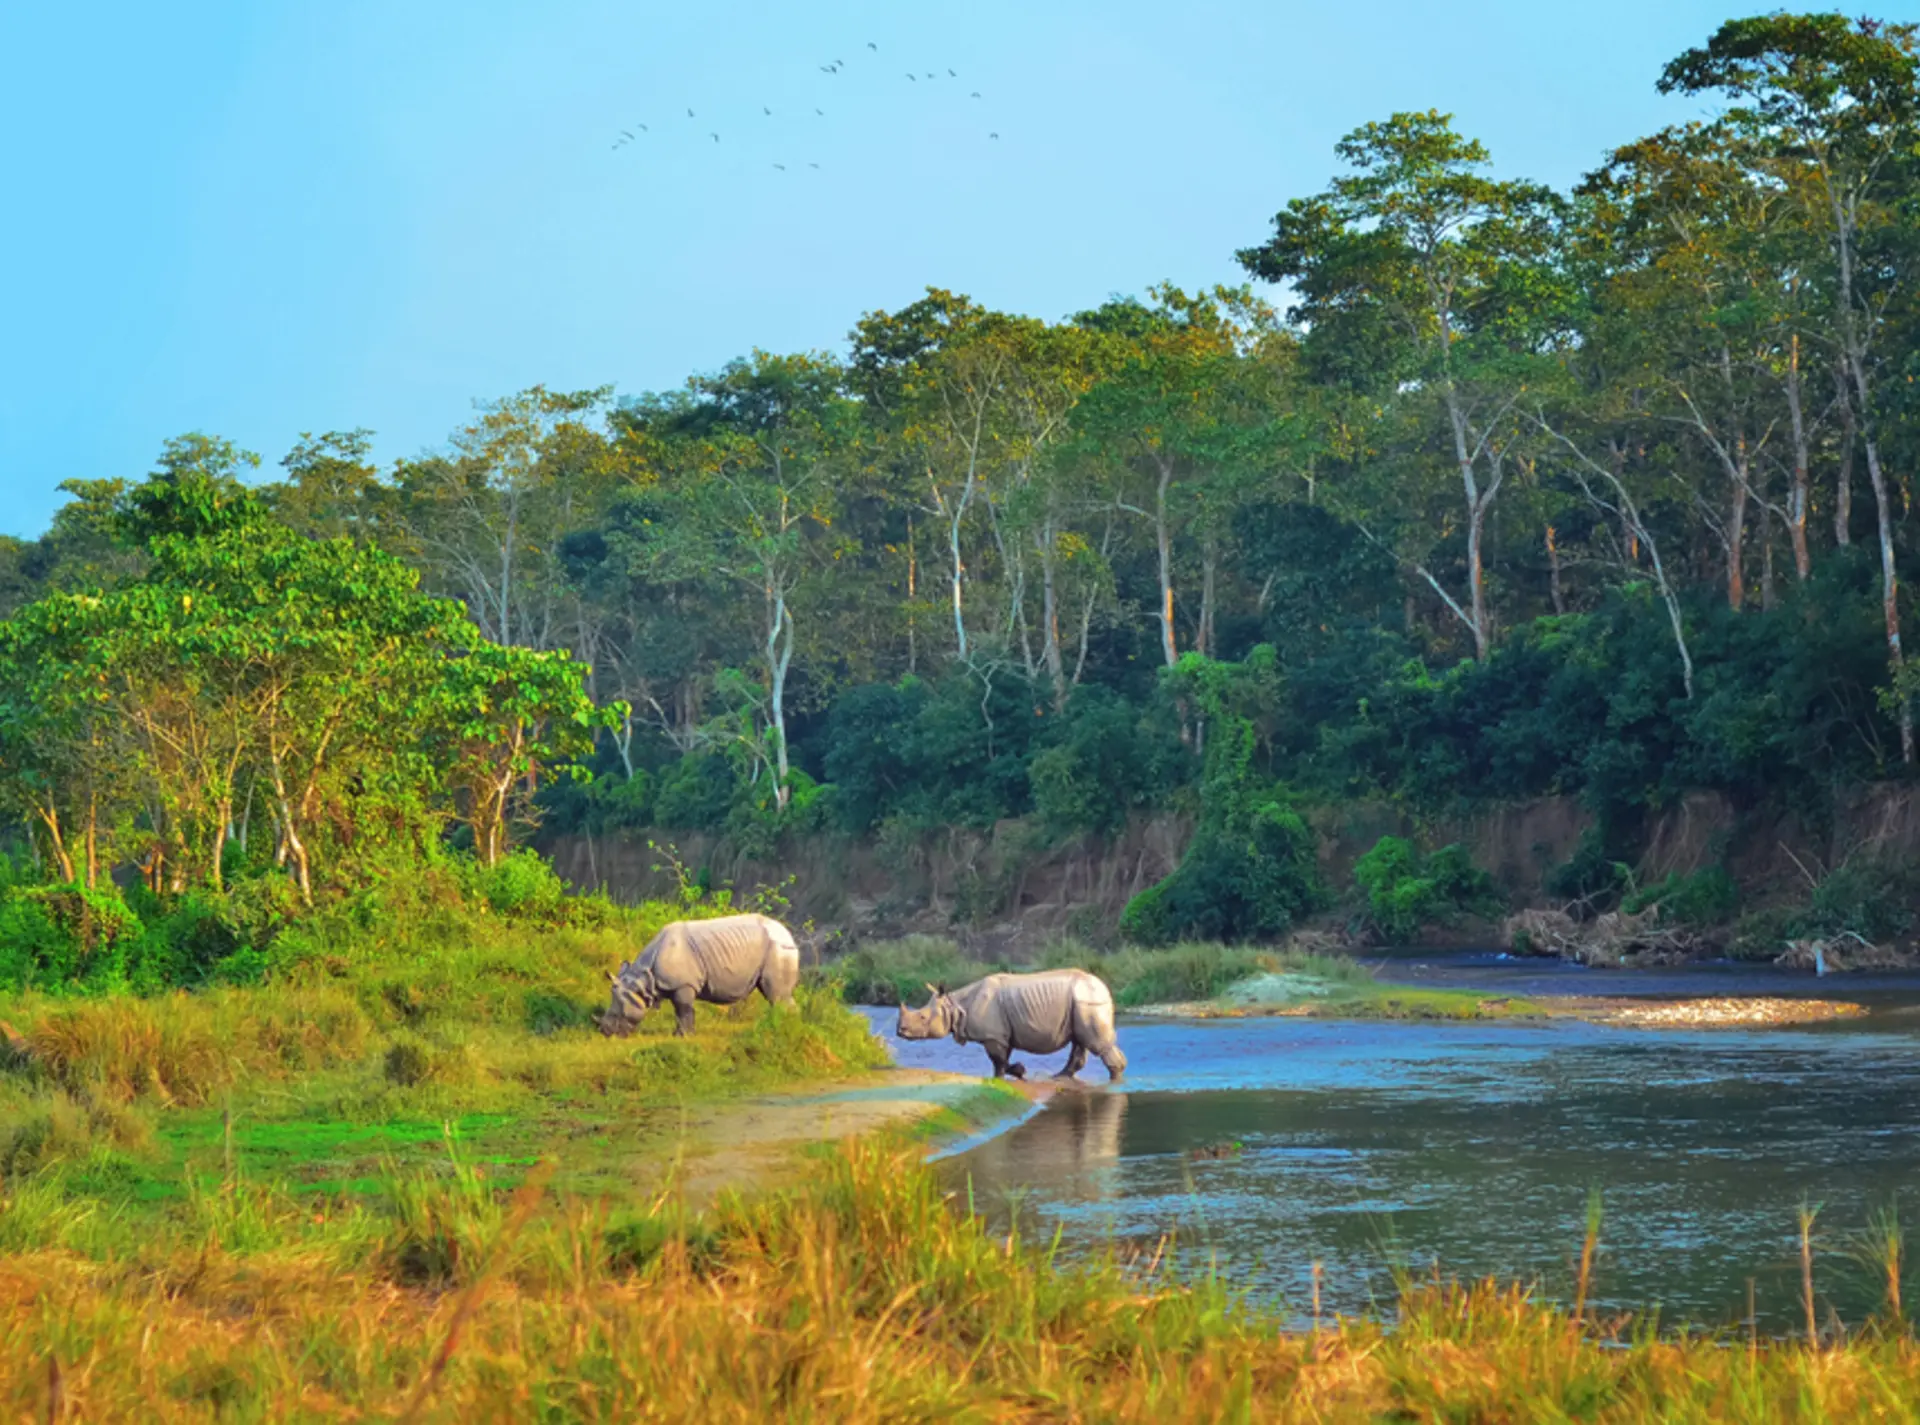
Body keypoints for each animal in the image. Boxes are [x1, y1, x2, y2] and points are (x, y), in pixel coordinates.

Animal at [599, 913, 802, 1037]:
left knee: (777, 995)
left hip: (778, 948)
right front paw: (679, 1035)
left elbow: (683, 1009)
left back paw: (783, 1031)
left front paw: (683, 1036)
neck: (642, 981)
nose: (604, 1032)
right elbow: (680, 1011)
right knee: (775, 995)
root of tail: (789, 935)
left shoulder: (683, 984)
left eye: (618, 1013)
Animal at [895, 968, 1127, 1081]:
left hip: (1087, 1000)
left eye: (922, 1018)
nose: (900, 1031)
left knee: (1096, 1043)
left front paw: (1019, 1072)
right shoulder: (1000, 1035)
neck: (956, 1005)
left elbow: (999, 1060)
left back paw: (1114, 1081)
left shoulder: (992, 1036)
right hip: (1080, 1003)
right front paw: (1003, 1077)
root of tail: (1104, 987)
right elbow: (1000, 1061)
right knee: (1080, 1041)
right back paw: (1059, 1077)